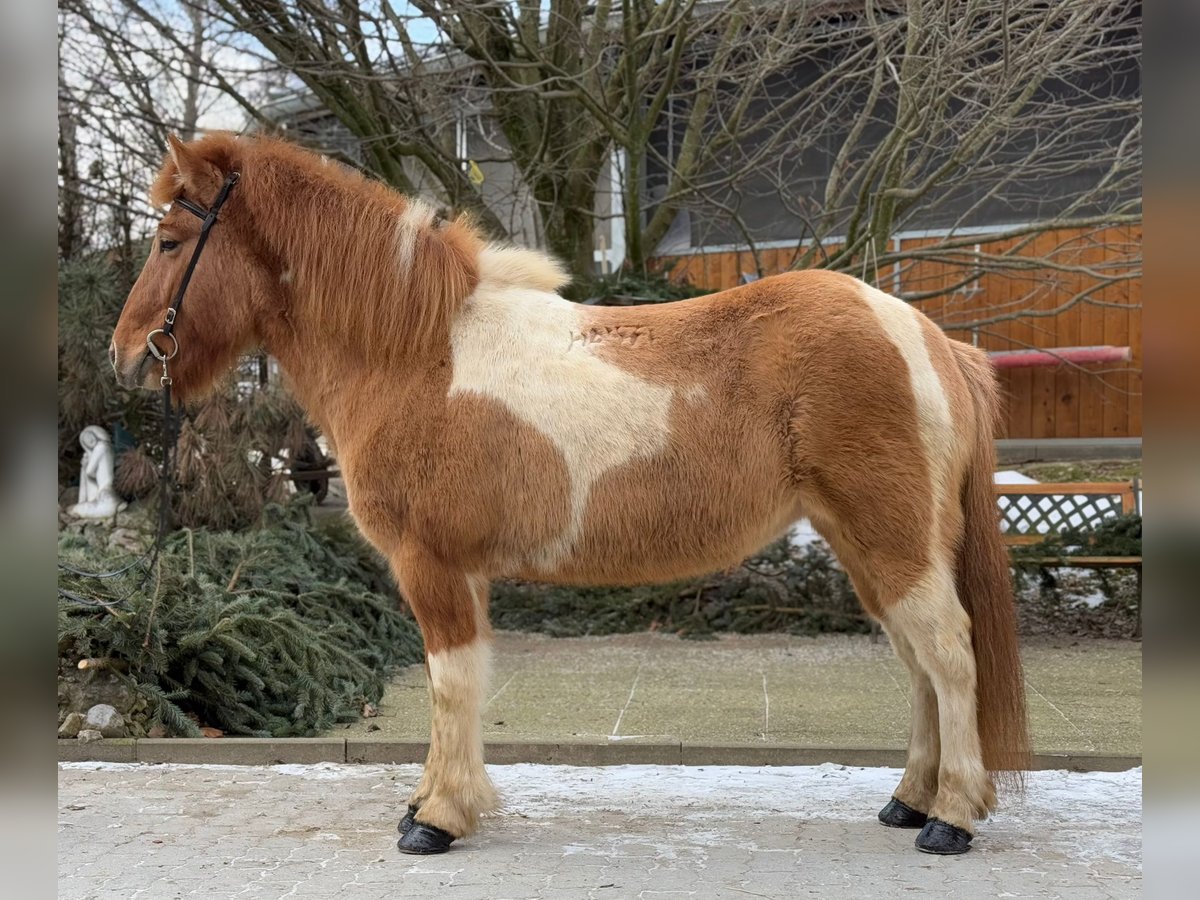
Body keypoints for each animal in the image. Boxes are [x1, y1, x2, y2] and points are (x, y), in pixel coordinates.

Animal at [112, 133, 1032, 859]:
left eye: (168, 240)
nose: (125, 354)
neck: (415, 351)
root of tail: (928, 336)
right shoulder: (464, 573)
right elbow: (462, 688)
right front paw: (436, 802)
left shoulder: (430, 566)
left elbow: (451, 685)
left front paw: (437, 820)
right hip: (867, 545)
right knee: (919, 663)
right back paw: (909, 800)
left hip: (892, 540)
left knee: (949, 654)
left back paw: (950, 818)